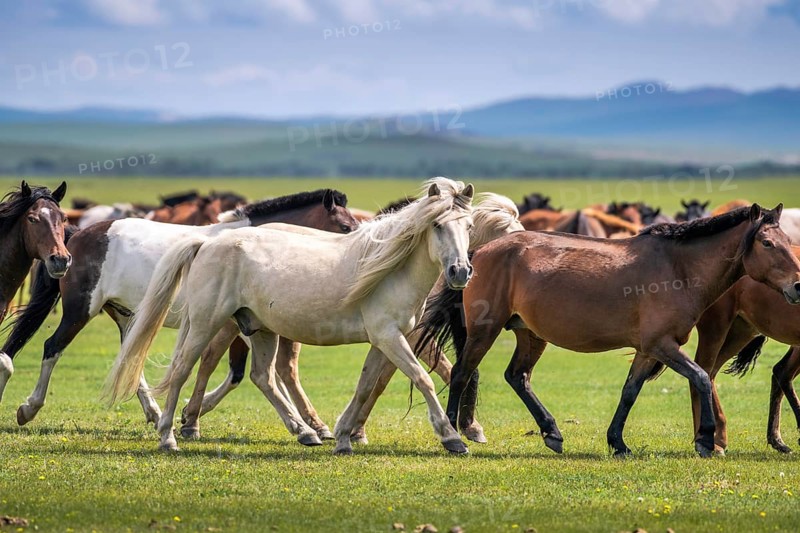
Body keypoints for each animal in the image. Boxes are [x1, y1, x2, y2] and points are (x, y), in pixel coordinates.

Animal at [105, 178, 475, 454]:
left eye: (470, 226)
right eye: (438, 224)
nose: (460, 272)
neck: (391, 271)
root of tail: (205, 243)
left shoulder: (382, 340)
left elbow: (365, 386)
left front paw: (343, 437)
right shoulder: (389, 337)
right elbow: (423, 379)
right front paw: (451, 437)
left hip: (259, 330)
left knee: (263, 376)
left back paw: (304, 431)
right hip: (206, 324)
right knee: (183, 369)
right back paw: (168, 436)